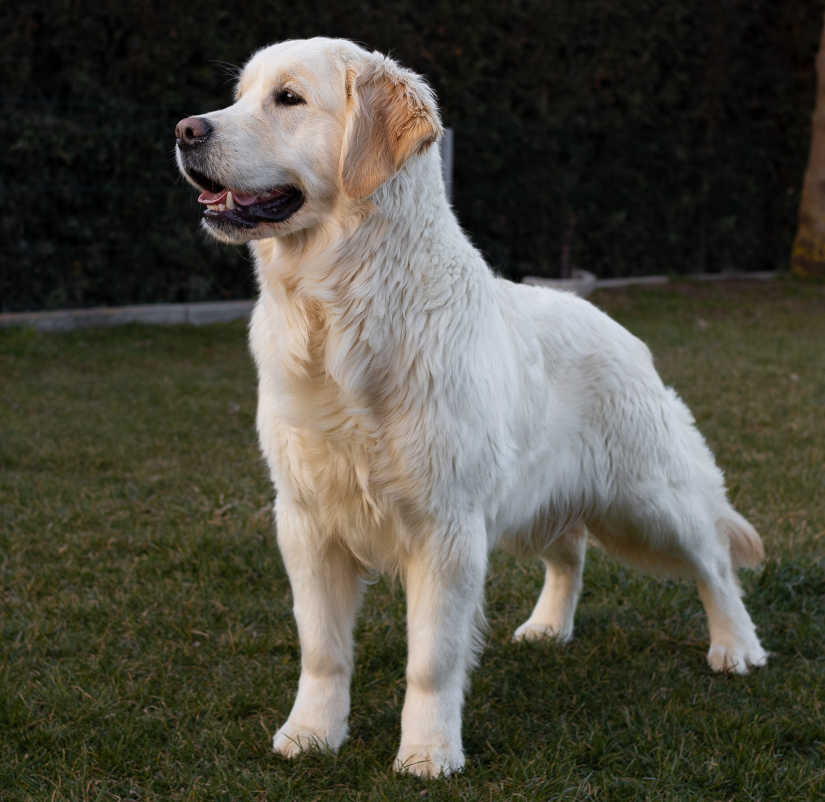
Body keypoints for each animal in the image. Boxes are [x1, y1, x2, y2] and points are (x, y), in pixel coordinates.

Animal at [174, 37, 768, 776]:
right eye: (241, 95)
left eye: (288, 98)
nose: (185, 130)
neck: (338, 313)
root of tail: (618, 330)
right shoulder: (307, 520)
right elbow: (322, 649)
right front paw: (312, 733)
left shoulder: (447, 526)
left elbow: (432, 658)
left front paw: (427, 752)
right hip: (538, 499)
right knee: (570, 551)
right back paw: (548, 626)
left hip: (646, 500)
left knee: (713, 556)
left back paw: (736, 646)